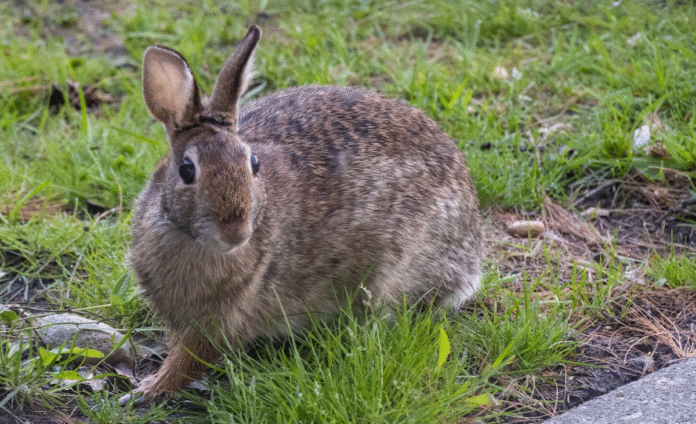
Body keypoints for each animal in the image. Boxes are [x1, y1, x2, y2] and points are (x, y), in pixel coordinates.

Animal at [127, 24, 482, 401]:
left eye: (254, 164)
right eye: (186, 171)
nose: (236, 232)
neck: (191, 240)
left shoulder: (223, 319)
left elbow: (189, 361)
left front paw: (149, 389)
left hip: (393, 271)